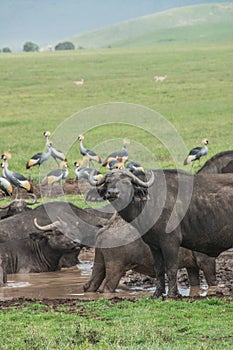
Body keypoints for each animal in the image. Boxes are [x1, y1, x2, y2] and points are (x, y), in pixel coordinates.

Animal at [89, 170, 233, 298]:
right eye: (108, 181)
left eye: (126, 182)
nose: (112, 193)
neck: (148, 202)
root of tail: (105, 228)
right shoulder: (155, 246)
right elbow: (159, 269)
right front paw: (158, 293)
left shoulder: (171, 243)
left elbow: (171, 268)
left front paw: (172, 294)